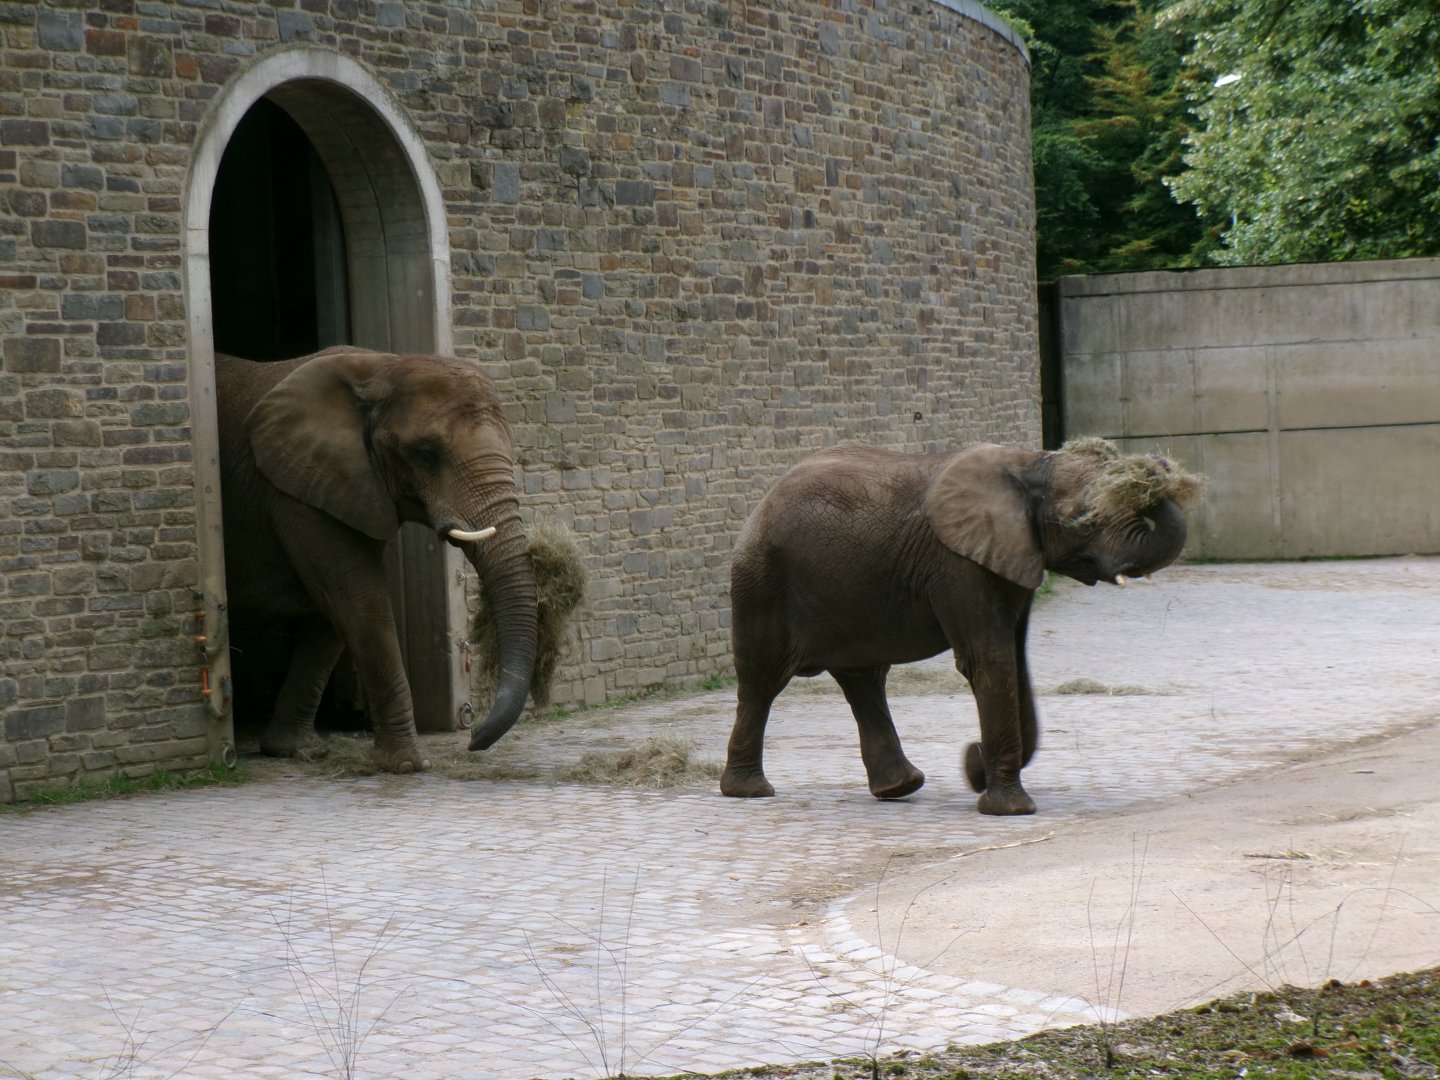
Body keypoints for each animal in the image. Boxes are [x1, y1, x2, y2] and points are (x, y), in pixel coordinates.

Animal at [216, 346, 539, 772]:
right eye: (426, 454)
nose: (472, 737)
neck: (378, 366)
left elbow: (331, 612)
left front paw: (295, 750)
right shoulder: (295, 491)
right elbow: (357, 599)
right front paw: (407, 765)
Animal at [720, 438, 1200, 815]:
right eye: (1078, 519)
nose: (1159, 464)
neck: (1030, 462)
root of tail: (761, 503)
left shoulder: (1010, 553)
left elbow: (1014, 661)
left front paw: (977, 768)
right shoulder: (957, 561)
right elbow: (988, 660)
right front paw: (1008, 808)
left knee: (863, 678)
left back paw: (901, 787)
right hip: (762, 579)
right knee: (764, 679)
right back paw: (749, 792)